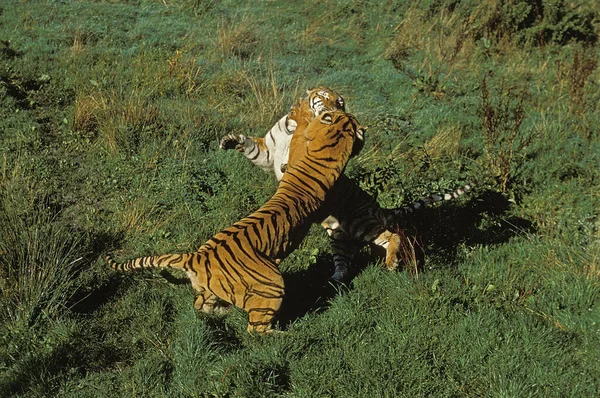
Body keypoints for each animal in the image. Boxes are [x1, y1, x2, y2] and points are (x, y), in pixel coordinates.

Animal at [105, 110, 364, 334]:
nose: (352, 117)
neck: (334, 141)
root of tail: (196, 257)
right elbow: (300, 136)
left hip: (212, 289)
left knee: (201, 304)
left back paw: (222, 312)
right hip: (272, 284)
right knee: (255, 330)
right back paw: (288, 334)